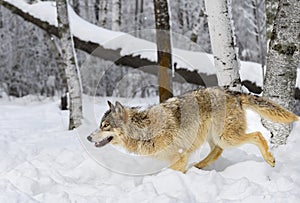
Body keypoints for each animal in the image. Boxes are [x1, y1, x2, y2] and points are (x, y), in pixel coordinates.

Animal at [86, 88, 298, 172]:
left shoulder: (179, 156)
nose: (88, 137)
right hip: (215, 138)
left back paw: (270, 160)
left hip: (226, 137)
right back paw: (198, 166)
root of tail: (233, 92)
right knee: (217, 151)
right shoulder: (179, 155)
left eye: (105, 126)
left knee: (258, 135)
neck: (144, 129)